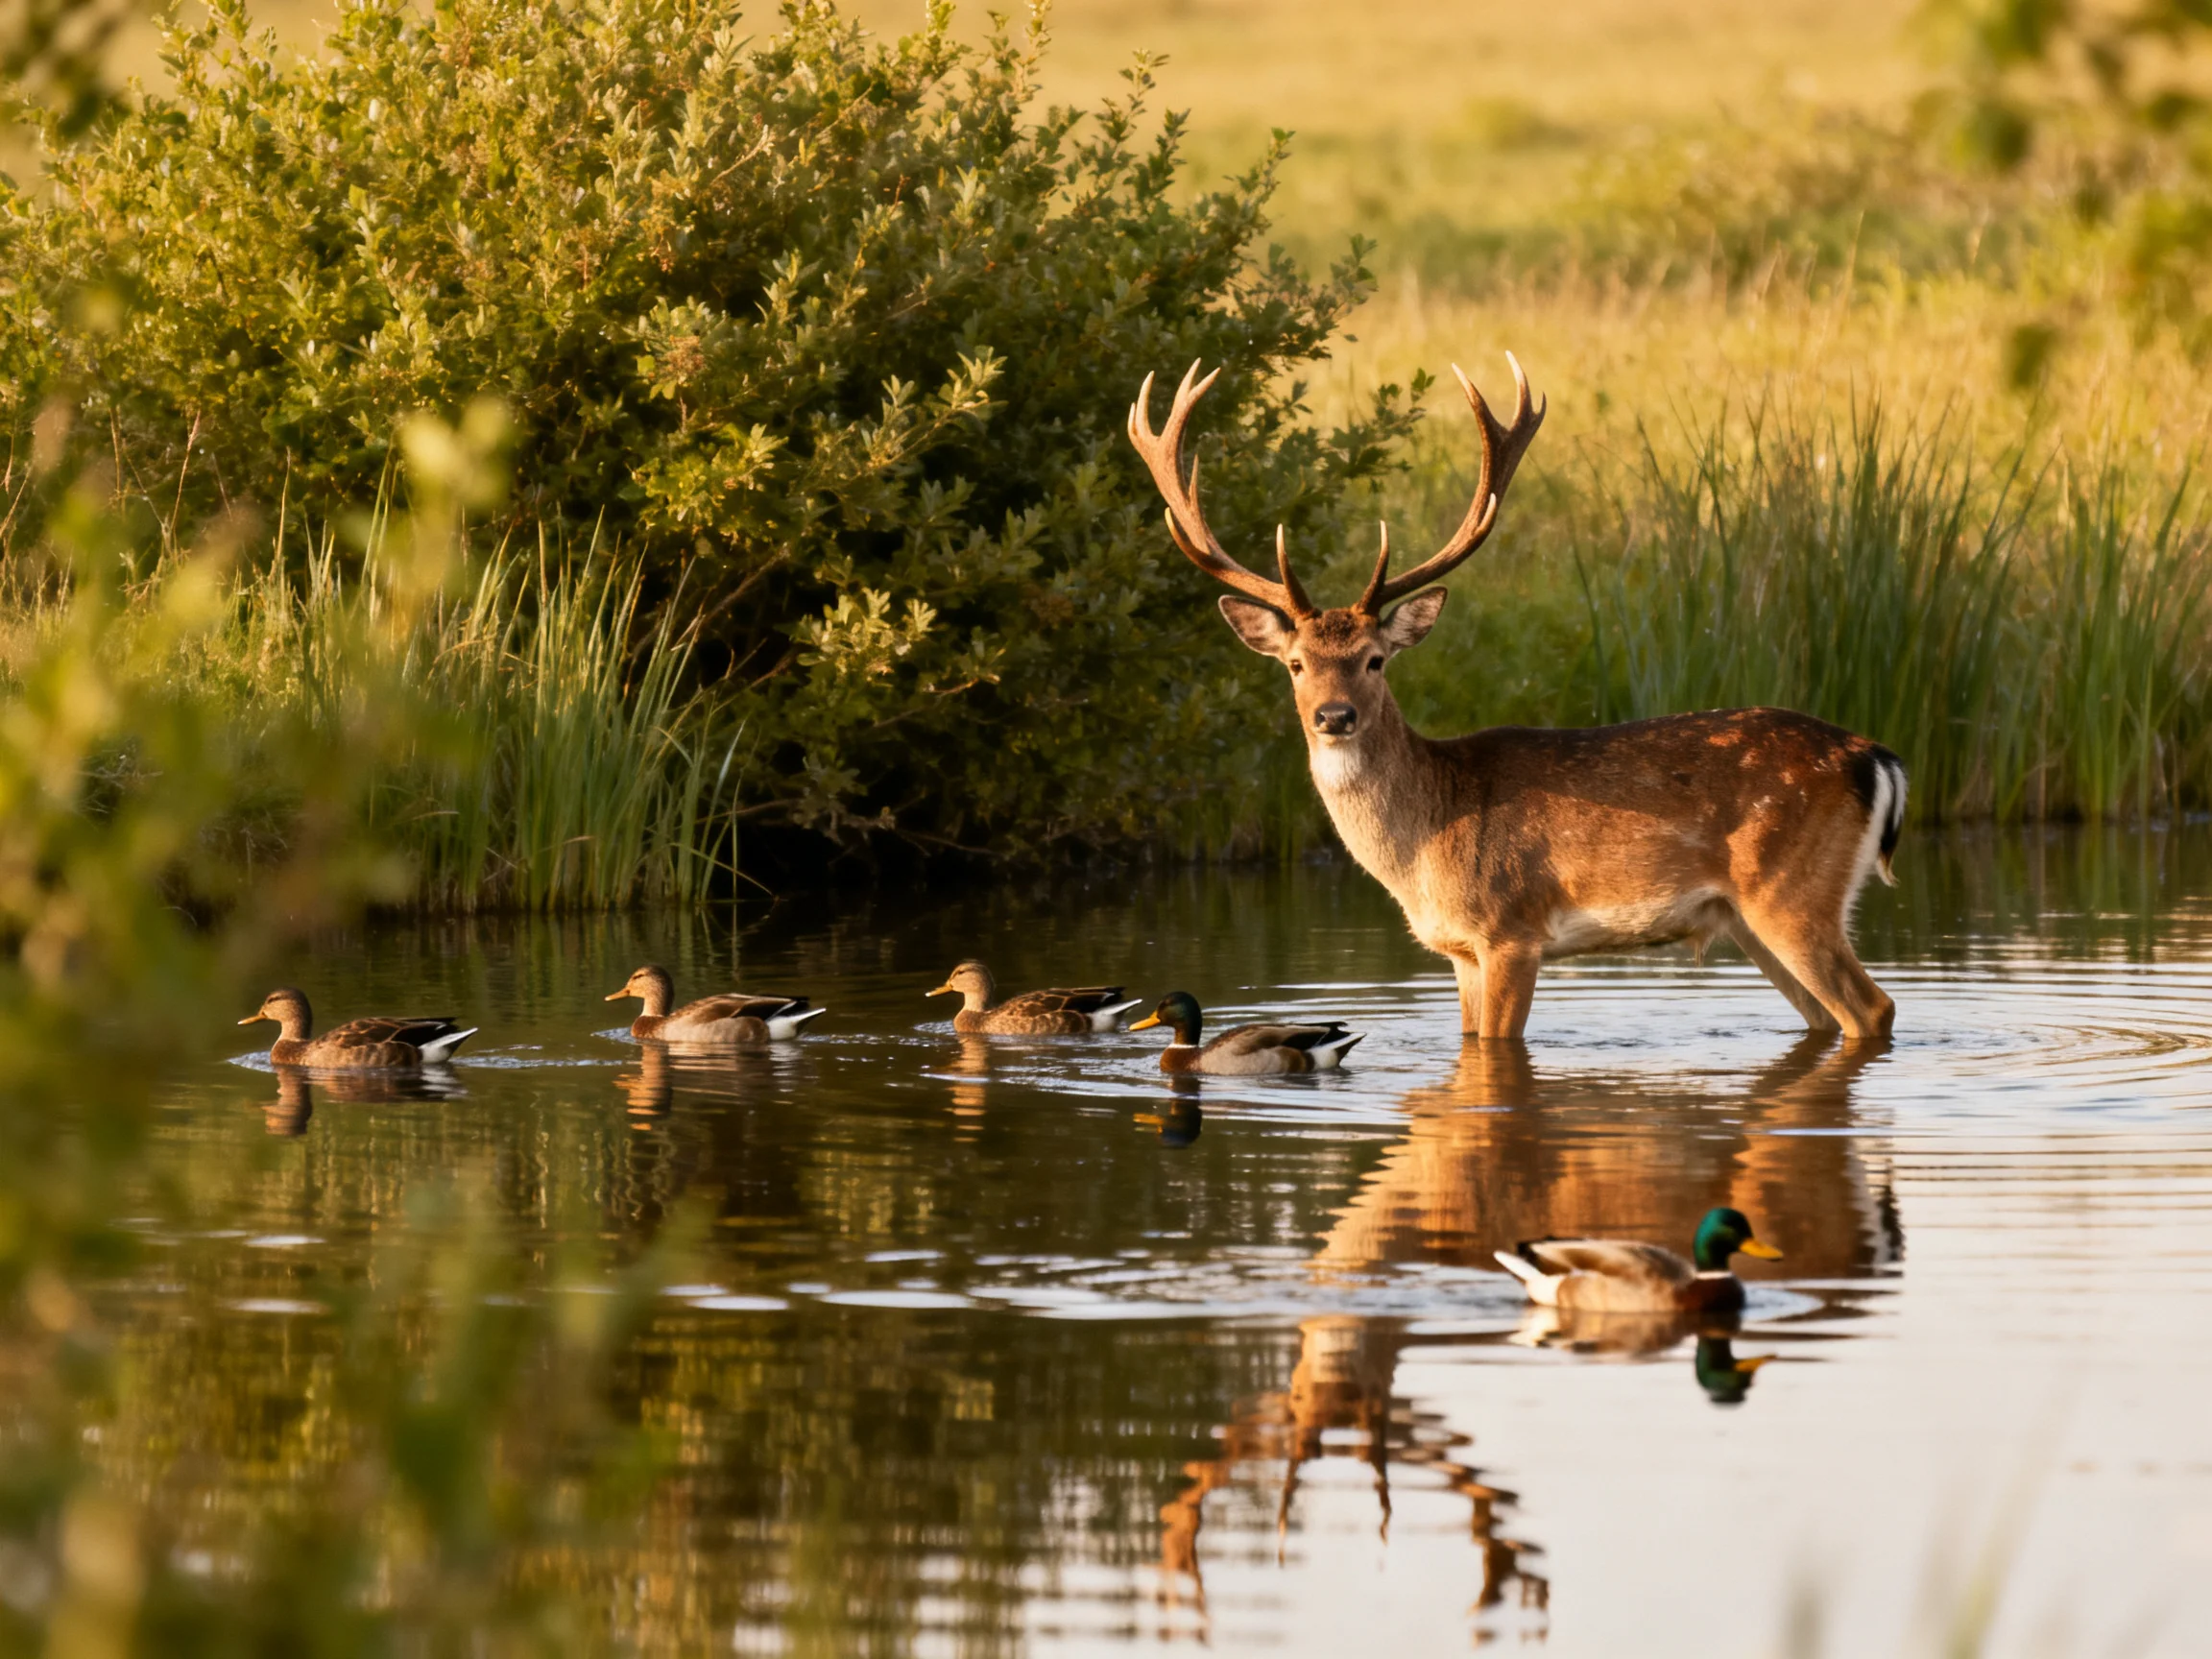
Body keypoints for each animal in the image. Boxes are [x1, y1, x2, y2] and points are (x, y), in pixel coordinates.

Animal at [1127, 358, 1906, 1044]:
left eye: (1375, 659)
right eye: (1295, 665)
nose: (1334, 716)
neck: (1425, 846)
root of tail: (1874, 758)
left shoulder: (1509, 930)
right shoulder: (1459, 951)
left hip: (1792, 893)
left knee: (1873, 1007)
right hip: (1748, 918)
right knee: (1827, 1017)